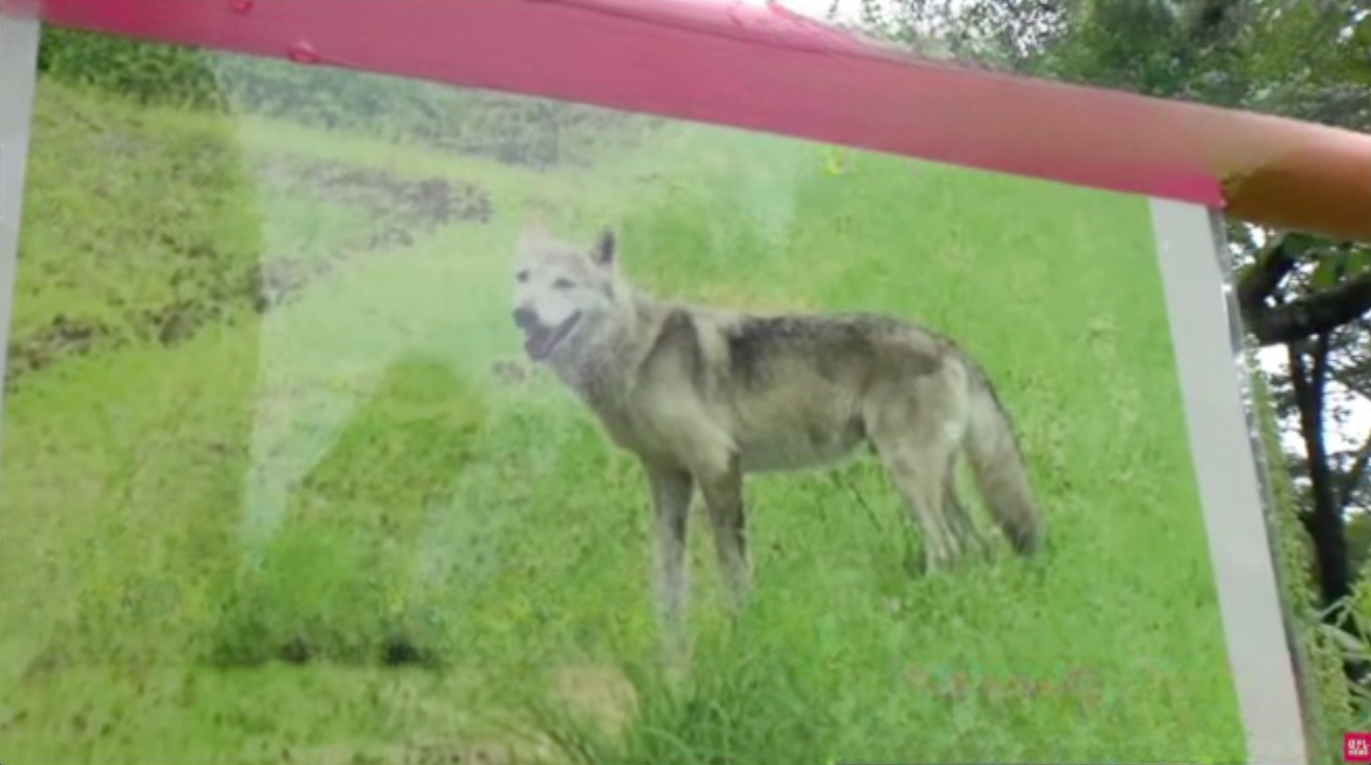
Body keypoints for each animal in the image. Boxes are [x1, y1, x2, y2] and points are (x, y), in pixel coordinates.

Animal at [510, 225, 1044, 660]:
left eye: (564, 284)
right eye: (523, 278)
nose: (521, 316)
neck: (635, 356)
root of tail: (950, 345)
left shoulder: (718, 465)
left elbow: (734, 572)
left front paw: (742, 637)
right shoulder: (667, 478)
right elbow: (667, 582)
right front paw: (672, 658)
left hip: (910, 481)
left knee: (948, 551)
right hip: (936, 483)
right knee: (978, 549)